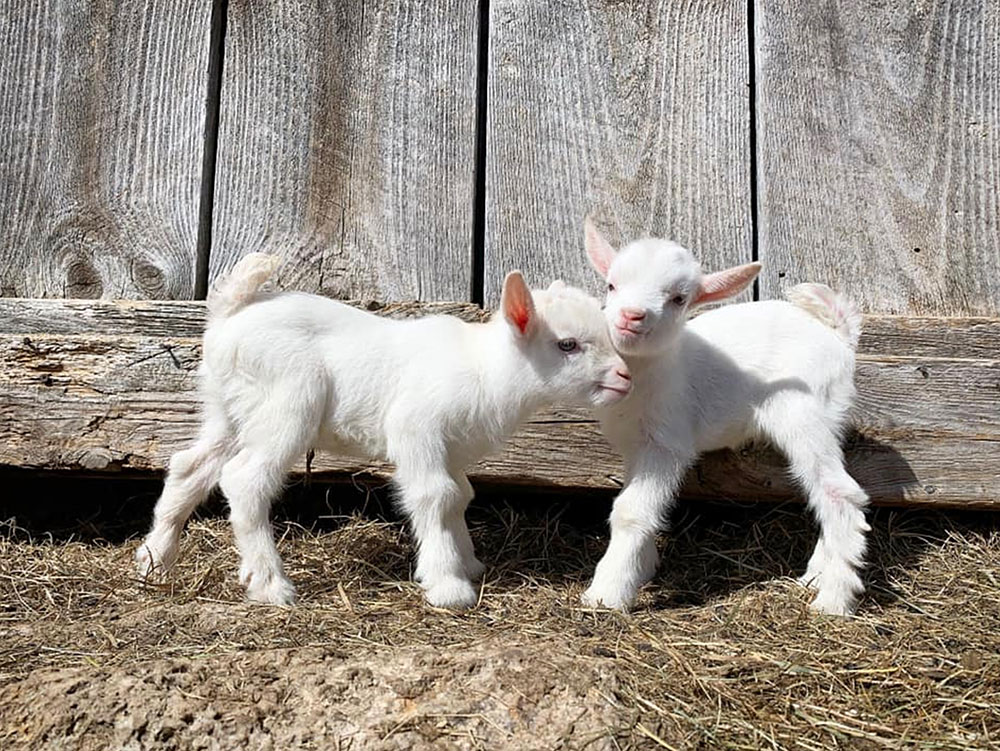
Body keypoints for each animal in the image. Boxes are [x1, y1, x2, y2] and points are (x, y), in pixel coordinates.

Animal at [137, 256, 628, 608]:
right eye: (567, 344)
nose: (624, 377)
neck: (485, 369)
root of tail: (228, 317)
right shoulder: (416, 429)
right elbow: (435, 495)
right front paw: (447, 585)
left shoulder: (450, 449)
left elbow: (460, 496)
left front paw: (468, 563)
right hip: (287, 403)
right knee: (245, 480)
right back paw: (271, 585)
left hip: (229, 408)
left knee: (190, 466)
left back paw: (154, 562)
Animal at [584, 219, 872, 616]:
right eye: (612, 284)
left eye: (679, 299)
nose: (632, 316)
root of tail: (839, 337)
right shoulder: (633, 446)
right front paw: (642, 568)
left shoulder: (666, 442)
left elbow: (630, 511)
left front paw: (608, 592)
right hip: (831, 418)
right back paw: (816, 575)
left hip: (804, 416)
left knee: (841, 493)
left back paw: (833, 599)